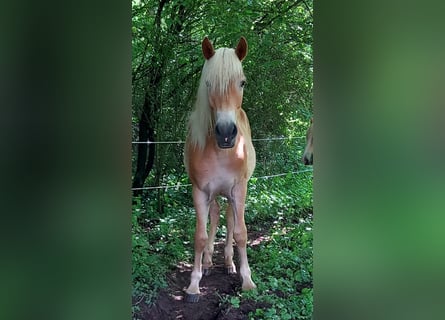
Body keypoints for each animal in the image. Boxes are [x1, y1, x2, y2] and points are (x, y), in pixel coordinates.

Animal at [182, 36, 255, 302]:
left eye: (242, 82)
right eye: (208, 82)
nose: (225, 133)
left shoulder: (239, 189)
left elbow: (241, 233)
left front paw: (247, 280)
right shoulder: (200, 192)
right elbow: (200, 236)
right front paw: (194, 283)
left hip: (232, 194)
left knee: (231, 220)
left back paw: (230, 262)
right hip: (214, 194)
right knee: (214, 217)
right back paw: (208, 261)